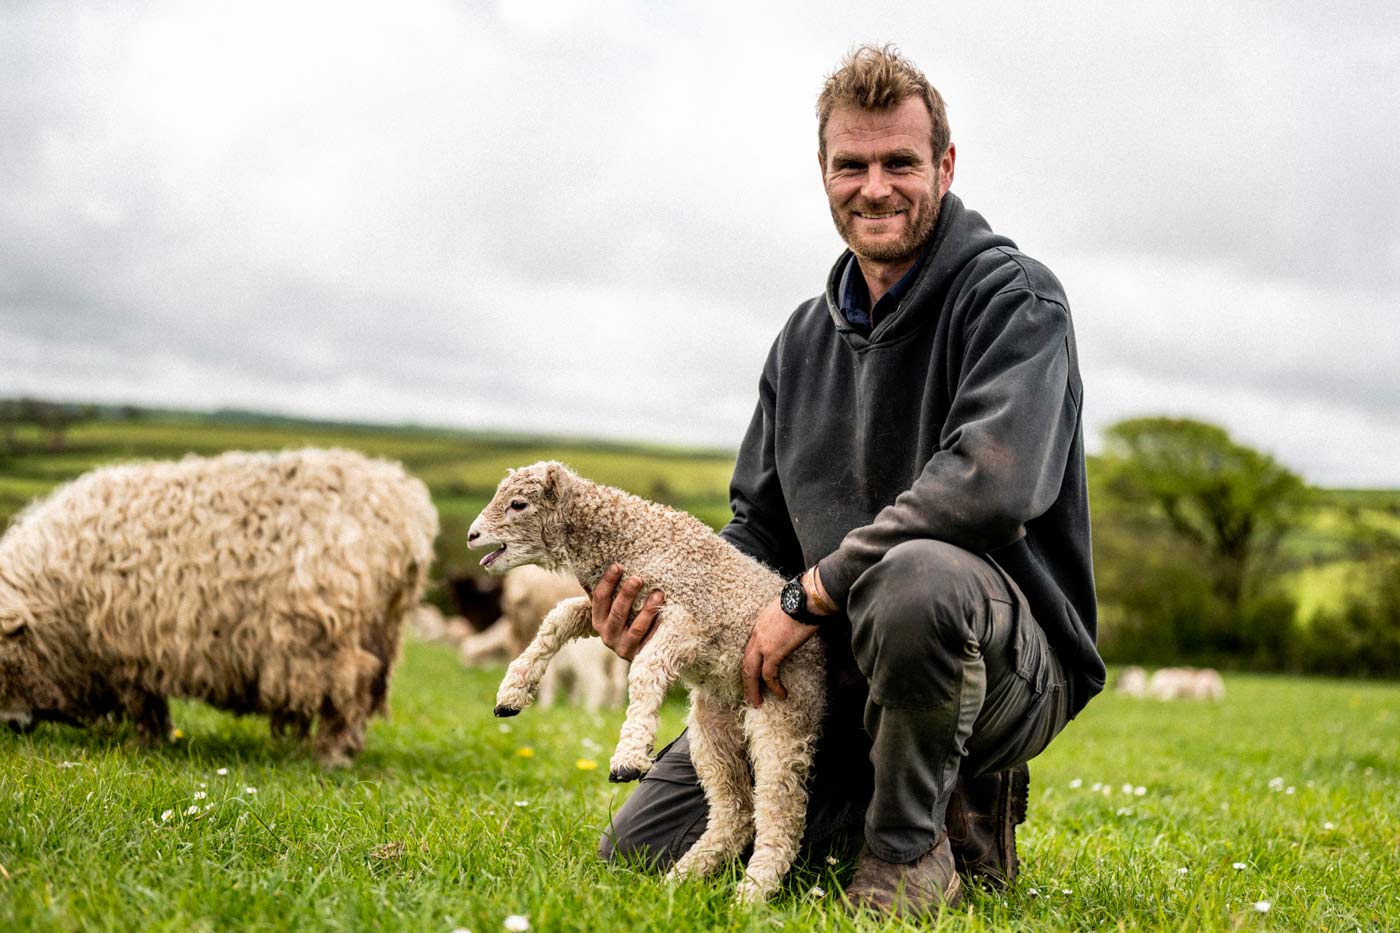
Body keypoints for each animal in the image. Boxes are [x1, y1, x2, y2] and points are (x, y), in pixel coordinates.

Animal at [0, 448, 436, 762]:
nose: (10, 727)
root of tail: (403, 509)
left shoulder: (128, 649)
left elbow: (144, 705)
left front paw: (145, 745)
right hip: (378, 633)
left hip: (330, 640)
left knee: (350, 690)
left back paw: (330, 755)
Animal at [470, 459, 823, 902]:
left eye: (518, 504)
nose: (471, 535)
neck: (635, 539)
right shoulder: (615, 603)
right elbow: (558, 618)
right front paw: (512, 691)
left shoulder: (689, 619)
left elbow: (643, 669)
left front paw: (629, 754)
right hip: (713, 727)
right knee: (736, 812)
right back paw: (679, 883)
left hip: (781, 713)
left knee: (781, 813)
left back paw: (749, 897)